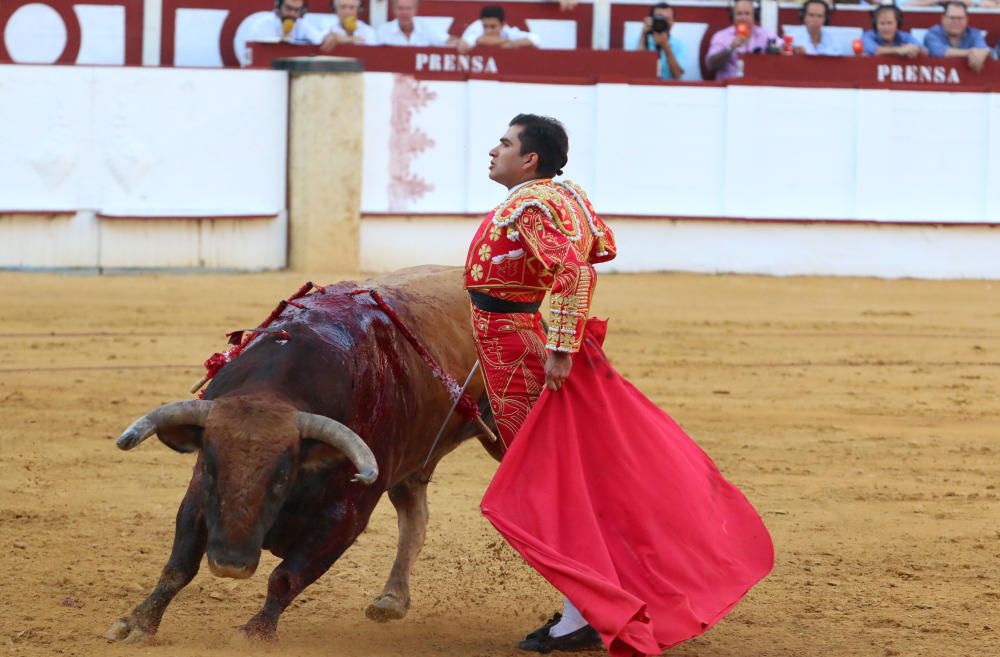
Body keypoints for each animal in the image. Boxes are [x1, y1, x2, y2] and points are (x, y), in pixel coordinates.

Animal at [103, 266, 498, 640]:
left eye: (282, 477)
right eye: (214, 468)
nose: (230, 563)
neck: (274, 391)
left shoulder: (346, 515)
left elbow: (285, 577)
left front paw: (256, 633)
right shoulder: (200, 493)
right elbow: (179, 565)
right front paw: (137, 622)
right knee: (415, 517)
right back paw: (392, 599)